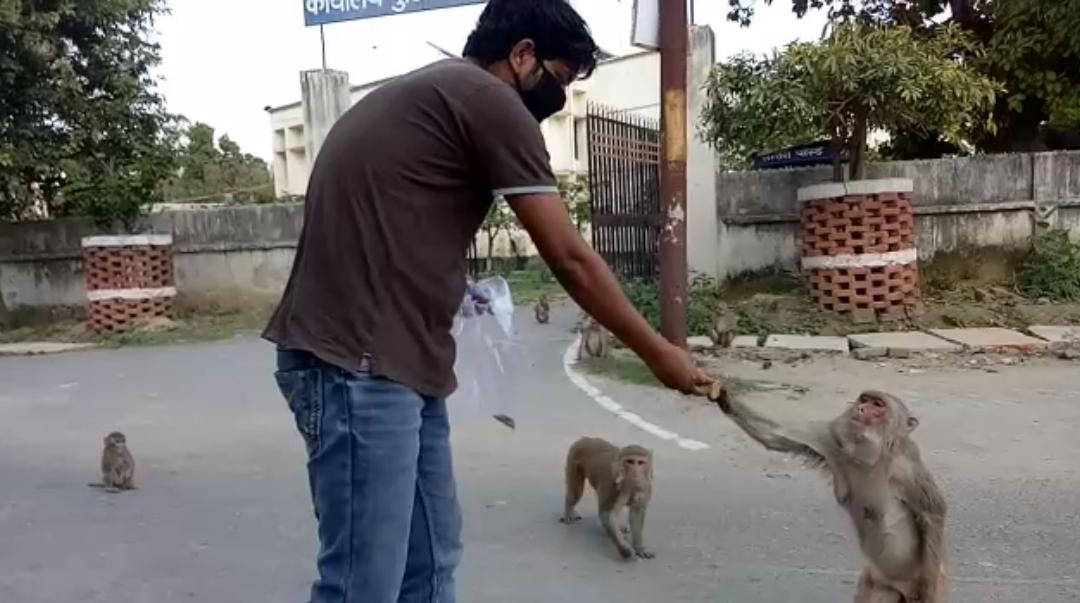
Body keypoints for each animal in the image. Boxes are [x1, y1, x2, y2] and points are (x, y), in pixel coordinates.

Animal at [712, 386, 950, 603]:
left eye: (878, 405)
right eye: (864, 399)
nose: (861, 409)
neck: (871, 457)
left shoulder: (906, 466)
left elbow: (933, 511)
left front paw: (927, 588)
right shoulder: (832, 438)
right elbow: (775, 436)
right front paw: (724, 396)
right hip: (879, 583)